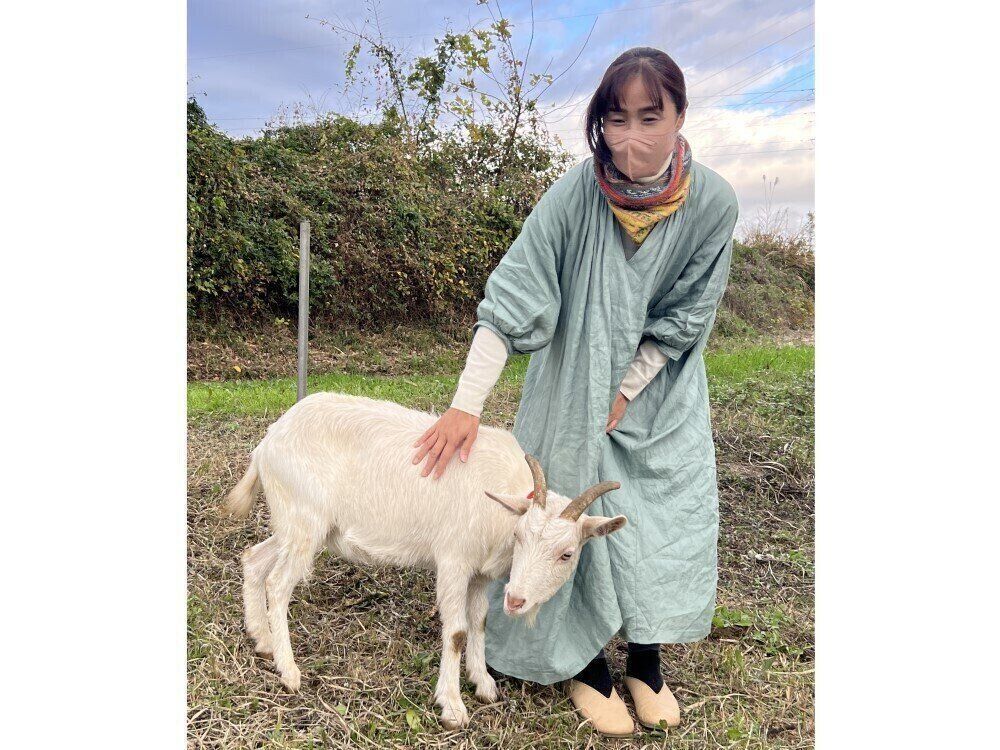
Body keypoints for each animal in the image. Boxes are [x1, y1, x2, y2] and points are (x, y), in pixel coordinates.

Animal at [223, 391, 626, 729]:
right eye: (520, 537)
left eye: (566, 553)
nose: (516, 600)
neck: (498, 501)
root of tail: (268, 442)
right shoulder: (454, 561)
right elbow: (458, 631)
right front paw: (452, 706)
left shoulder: (481, 575)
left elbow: (479, 622)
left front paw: (483, 684)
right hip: (305, 521)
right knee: (278, 584)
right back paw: (289, 670)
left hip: (296, 525)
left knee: (254, 560)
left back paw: (262, 638)